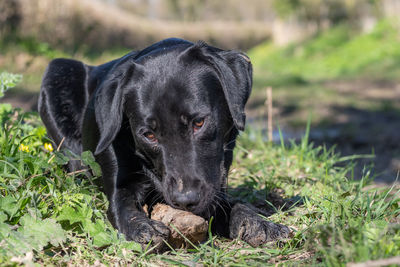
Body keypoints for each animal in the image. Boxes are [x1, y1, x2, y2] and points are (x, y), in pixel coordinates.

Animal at [39, 38, 290, 252]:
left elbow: (233, 204)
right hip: (58, 70)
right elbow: (122, 206)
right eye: (149, 135)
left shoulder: (215, 185)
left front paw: (259, 223)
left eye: (199, 122)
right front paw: (142, 228)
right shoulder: (119, 181)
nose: (185, 201)